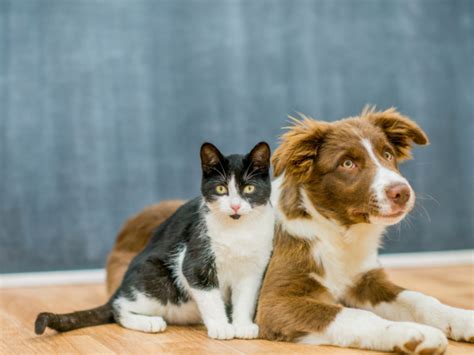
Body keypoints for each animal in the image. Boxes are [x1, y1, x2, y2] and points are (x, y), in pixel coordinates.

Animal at [35, 142, 274, 342]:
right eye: (221, 188)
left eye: (249, 188)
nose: (235, 206)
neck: (238, 230)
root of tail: (120, 287)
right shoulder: (195, 259)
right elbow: (209, 296)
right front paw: (222, 327)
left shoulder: (254, 268)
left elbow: (246, 297)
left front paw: (243, 326)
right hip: (156, 278)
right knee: (119, 308)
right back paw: (148, 322)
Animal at [105, 108, 472, 354]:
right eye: (347, 163)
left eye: (387, 154)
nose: (402, 192)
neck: (336, 234)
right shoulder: (275, 301)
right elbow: (353, 316)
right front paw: (411, 334)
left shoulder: (365, 280)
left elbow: (420, 297)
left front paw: (462, 319)